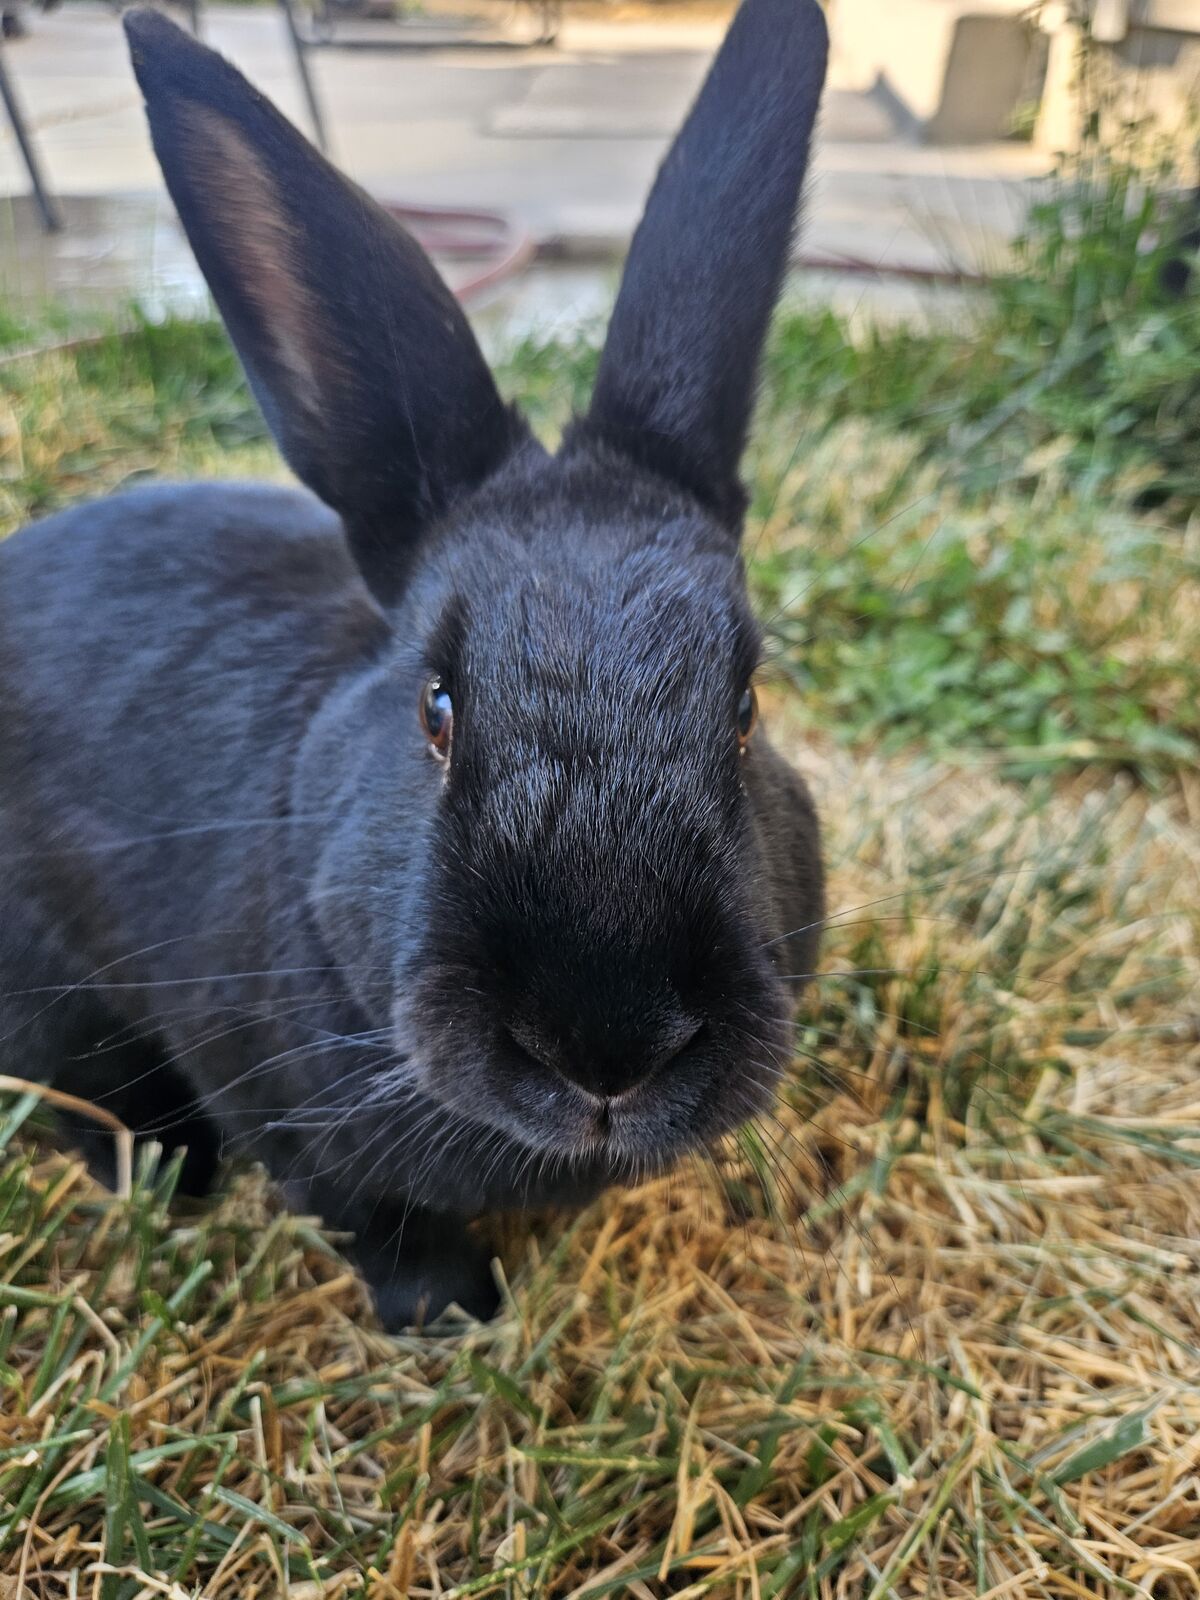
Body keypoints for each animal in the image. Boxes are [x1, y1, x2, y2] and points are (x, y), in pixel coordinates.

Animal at [0, 0, 827, 1329]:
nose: (607, 1049)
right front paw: (455, 1312)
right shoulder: (287, 1119)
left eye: (747, 709)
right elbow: (372, 1219)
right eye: (435, 711)